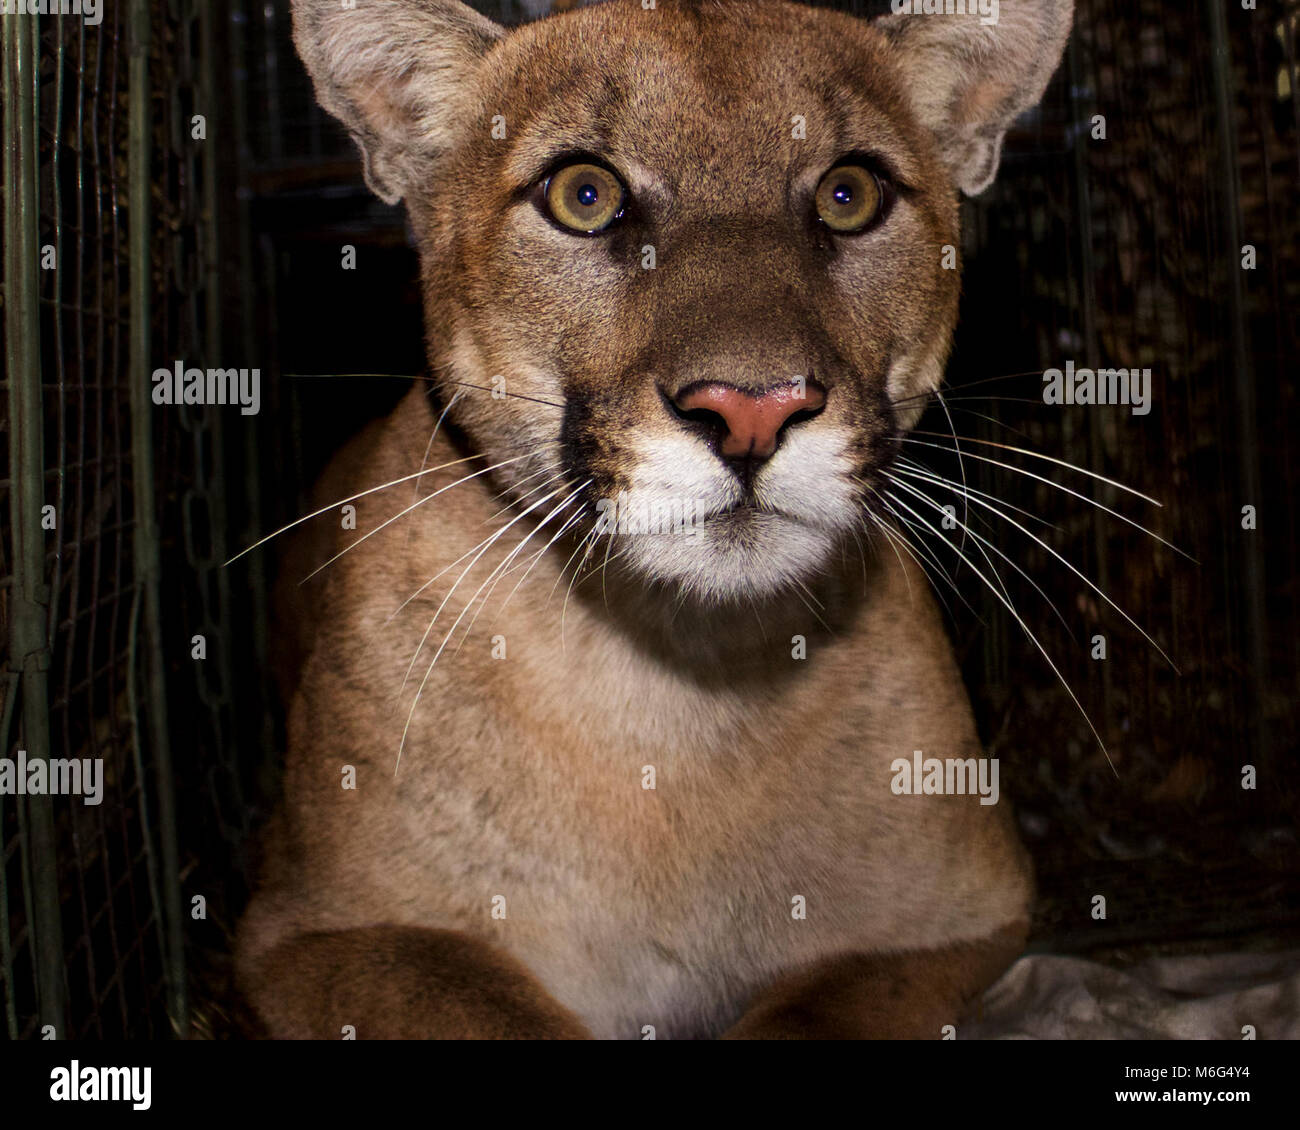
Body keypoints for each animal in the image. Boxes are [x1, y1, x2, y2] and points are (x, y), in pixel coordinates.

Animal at [236, 0, 1076, 1040]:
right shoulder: (322, 932)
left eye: (850, 194)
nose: (753, 409)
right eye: (584, 194)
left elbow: (816, 1017)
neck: (681, 676)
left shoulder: (953, 922)